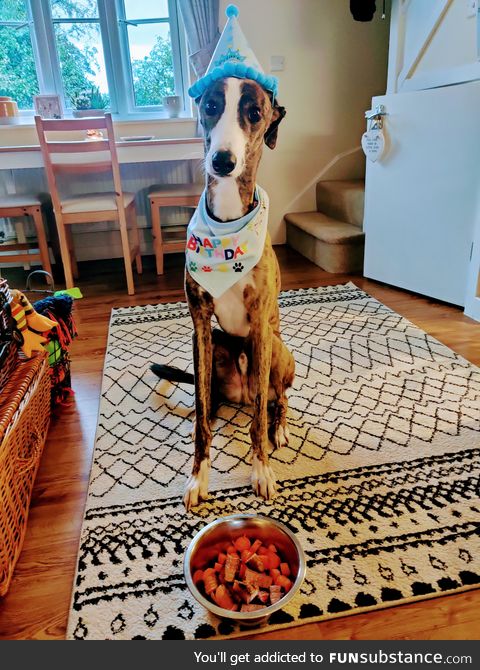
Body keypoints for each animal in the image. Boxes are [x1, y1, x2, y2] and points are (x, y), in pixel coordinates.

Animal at [162, 77, 292, 510]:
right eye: (211, 106)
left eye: (254, 113)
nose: (222, 161)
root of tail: (242, 394)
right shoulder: (200, 326)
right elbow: (202, 410)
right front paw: (197, 477)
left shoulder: (260, 325)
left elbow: (257, 424)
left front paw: (262, 471)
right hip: (217, 345)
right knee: (215, 400)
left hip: (277, 350)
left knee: (276, 400)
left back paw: (279, 428)